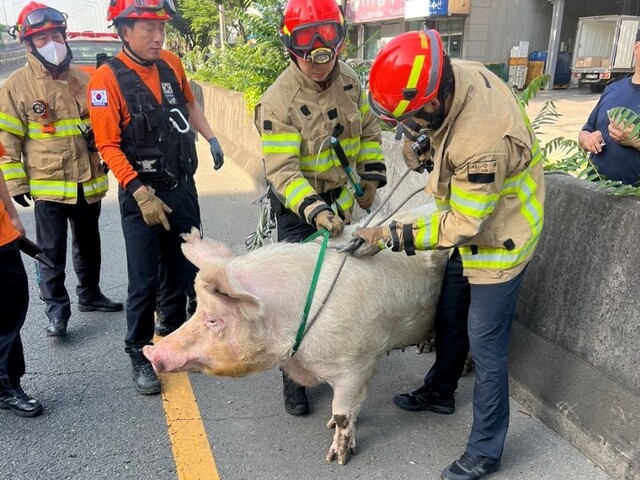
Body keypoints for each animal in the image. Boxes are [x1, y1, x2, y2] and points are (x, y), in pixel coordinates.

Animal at [143, 222, 448, 464]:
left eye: (213, 320)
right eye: (195, 310)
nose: (151, 350)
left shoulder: (355, 364)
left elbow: (342, 412)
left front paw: (337, 458)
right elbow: (351, 409)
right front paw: (329, 425)